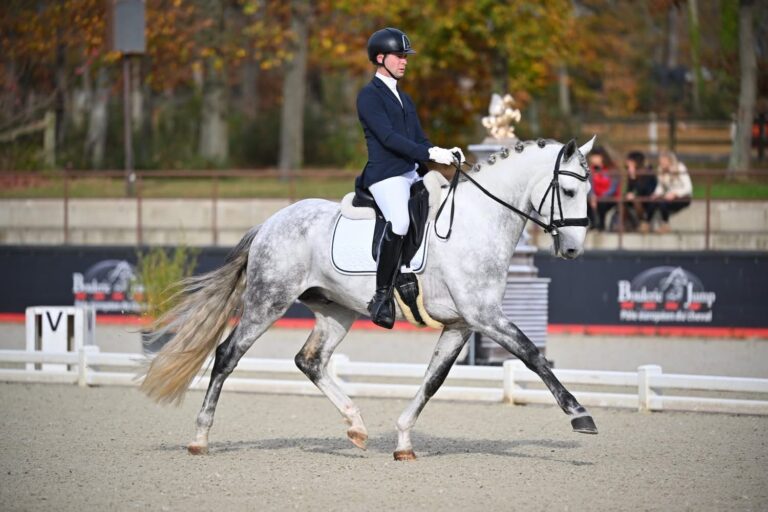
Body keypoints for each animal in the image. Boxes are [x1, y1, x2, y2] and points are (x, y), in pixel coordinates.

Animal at [140, 136, 599, 460]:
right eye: (569, 192)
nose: (573, 249)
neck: (477, 221)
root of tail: (270, 222)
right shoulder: (485, 315)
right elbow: (532, 355)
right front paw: (580, 415)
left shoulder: (462, 324)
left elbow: (433, 380)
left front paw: (403, 440)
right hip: (268, 300)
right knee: (227, 355)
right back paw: (200, 437)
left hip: (336, 310)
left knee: (310, 360)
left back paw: (357, 426)